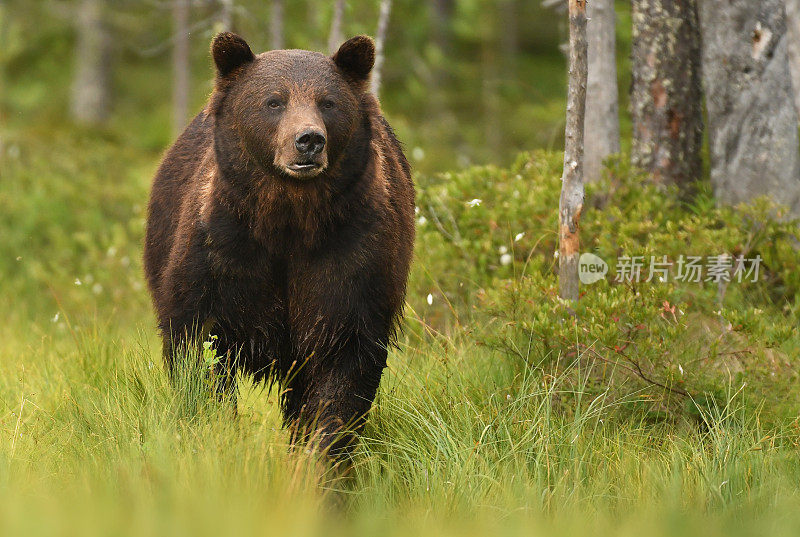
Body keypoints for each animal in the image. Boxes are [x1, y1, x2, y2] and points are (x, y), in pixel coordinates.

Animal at [144, 31, 416, 454]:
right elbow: (199, 345)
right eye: (274, 101)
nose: (309, 140)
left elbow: (344, 359)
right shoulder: (223, 249)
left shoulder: (352, 252)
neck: (288, 220)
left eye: (328, 102)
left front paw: (321, 453)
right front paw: (215, 431)